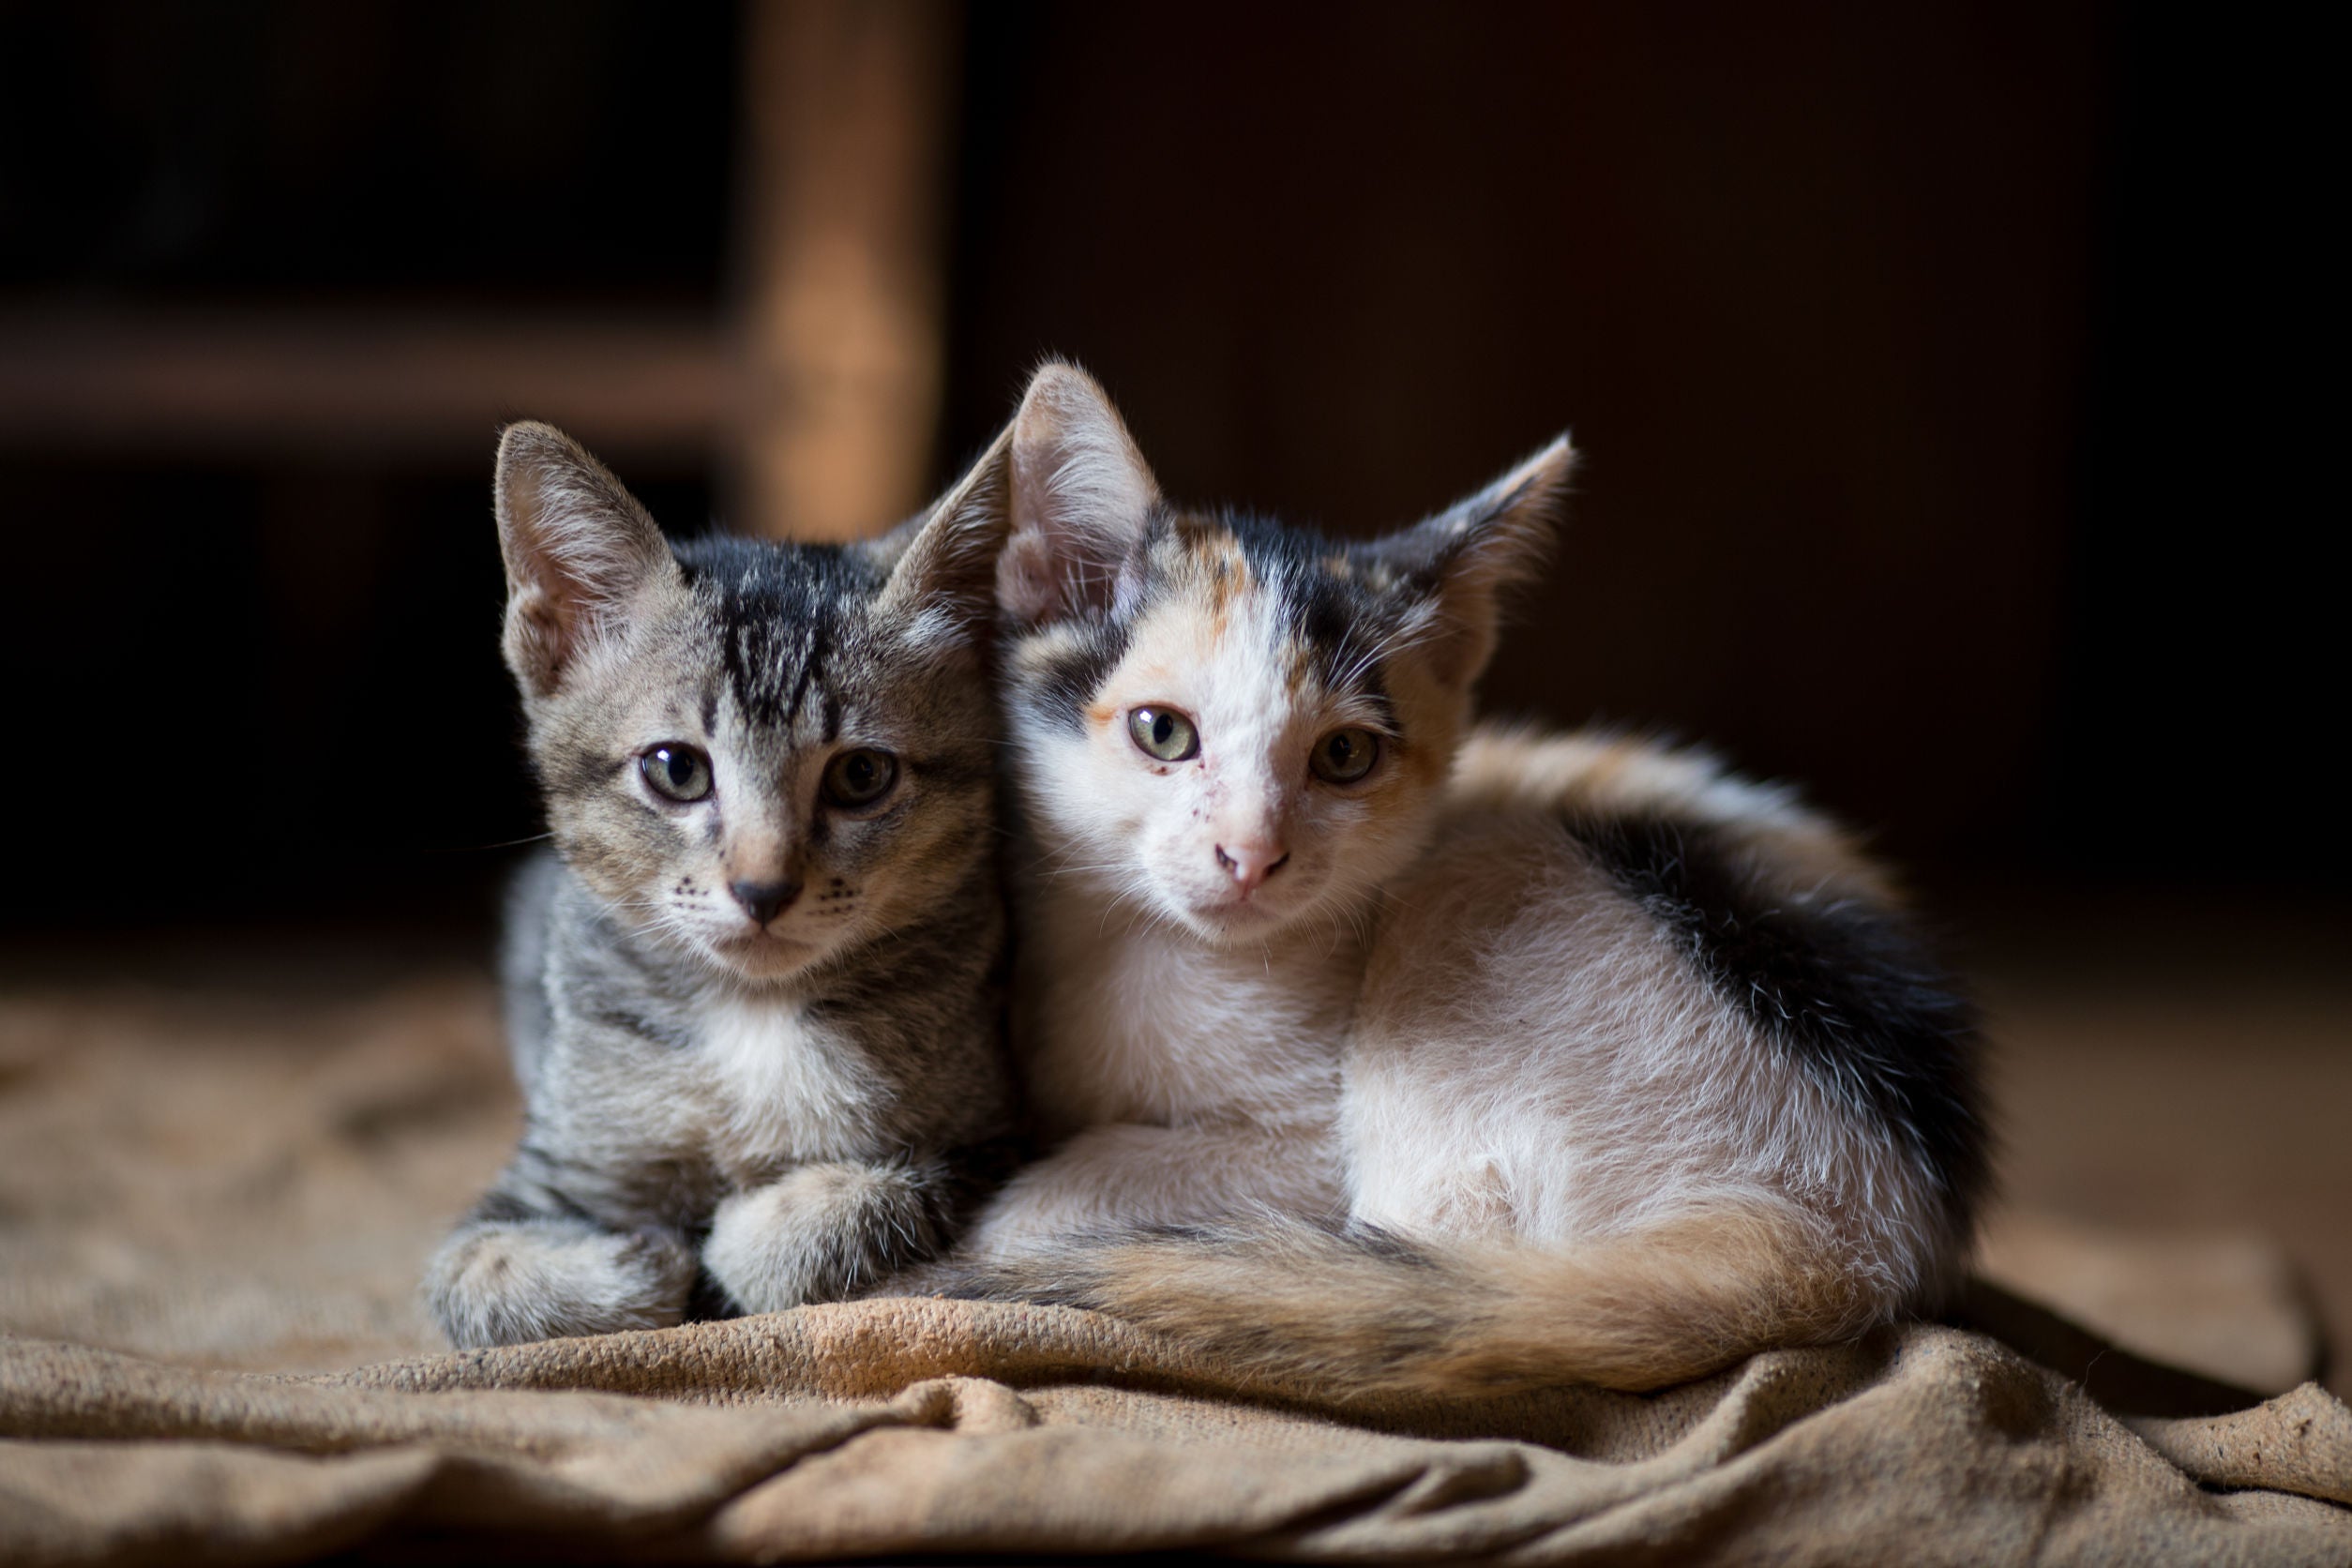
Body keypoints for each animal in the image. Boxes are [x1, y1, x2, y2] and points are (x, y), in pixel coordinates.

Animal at [428, 420, 1016, 1353]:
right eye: (676, 769)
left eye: (861, 776)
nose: (763, 888)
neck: (752, 1012)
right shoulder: (547, 1172)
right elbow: (482, 1274)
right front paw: (643, 1262)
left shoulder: (994, 1136)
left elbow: (862, 1199)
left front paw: (745, 1234)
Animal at [955, 369, 1984, 1401]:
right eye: (1163, 732)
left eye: (1344, 756)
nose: (1252, 853)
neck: (1150, 945)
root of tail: (1856, 1247)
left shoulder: (1307, 1155)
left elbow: (1067, 1188)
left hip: (1487, 876)